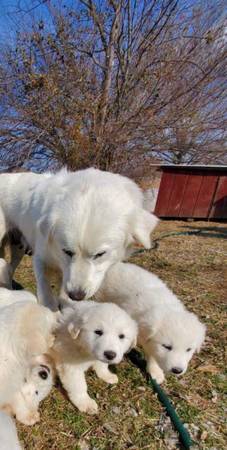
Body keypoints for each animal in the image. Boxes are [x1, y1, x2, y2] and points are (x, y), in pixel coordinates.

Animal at [0, 168, 158, 310]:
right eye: (67, 251)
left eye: (99, 254)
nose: (76, 296)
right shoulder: (41, 258)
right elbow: (46, 293)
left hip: (18, 249)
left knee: (10, 268)